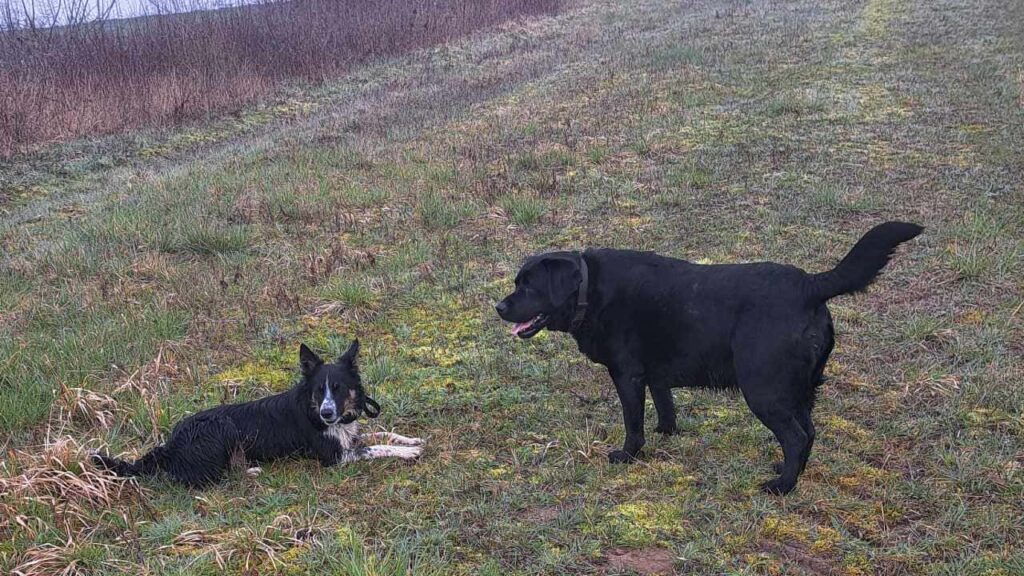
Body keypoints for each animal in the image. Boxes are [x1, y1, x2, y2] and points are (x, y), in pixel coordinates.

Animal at [90, 338, 421, 485]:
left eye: (338, 388)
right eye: (319, 390)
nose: (327, 414)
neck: (314, 409)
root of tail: (171, 444)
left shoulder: (347, 434)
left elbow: (379, 432)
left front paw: (410, 439)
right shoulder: (335, 457)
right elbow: (374, 447)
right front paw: (408, 453)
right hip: (222, 427)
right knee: (205, 479)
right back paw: (249, 470)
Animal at [491, 222, 925, 491]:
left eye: (529, 286)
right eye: (517, 283)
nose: (498, 306)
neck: (588, 288)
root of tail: (809, 285)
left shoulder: (627, 375)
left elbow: (633, 423)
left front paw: (629, 455)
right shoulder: (655, 375)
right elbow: (665, 406)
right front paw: (667, 433)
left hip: (763, 389)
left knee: (797, 436)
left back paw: (782, 487)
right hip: (796, 390)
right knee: (809, 432)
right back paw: (788, 473)